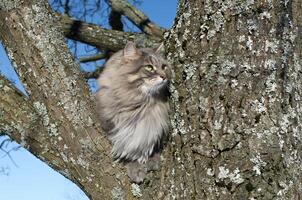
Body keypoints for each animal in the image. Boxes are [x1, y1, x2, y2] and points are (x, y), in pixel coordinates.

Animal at [96, 41, 170, 183]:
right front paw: (136, 168)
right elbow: (129, 151)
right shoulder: (116, 129)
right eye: (149, 67)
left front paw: (152, 160)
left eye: (164, 67)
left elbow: (151, 146)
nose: (164, 77)